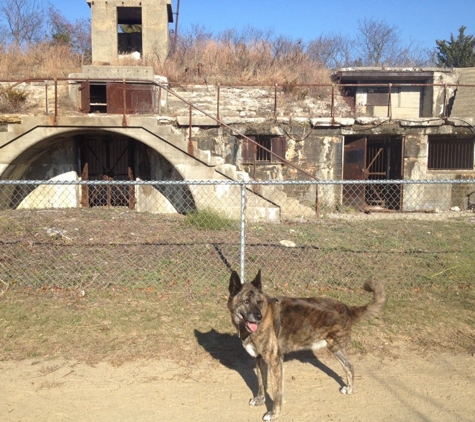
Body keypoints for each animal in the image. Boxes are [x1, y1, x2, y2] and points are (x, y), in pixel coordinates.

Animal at [229, 270, 388, 418]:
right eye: (246, 301)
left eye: (259, 302)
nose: (258, 317)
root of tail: (348, 309)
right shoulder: (259, 359)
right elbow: (262, 383)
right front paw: (260, 400)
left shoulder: (275, 361)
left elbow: (276, 392)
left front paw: (274, 414)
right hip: (335, 348)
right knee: (349, 366)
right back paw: (349, 389)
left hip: (334, 346)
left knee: (349, 366)